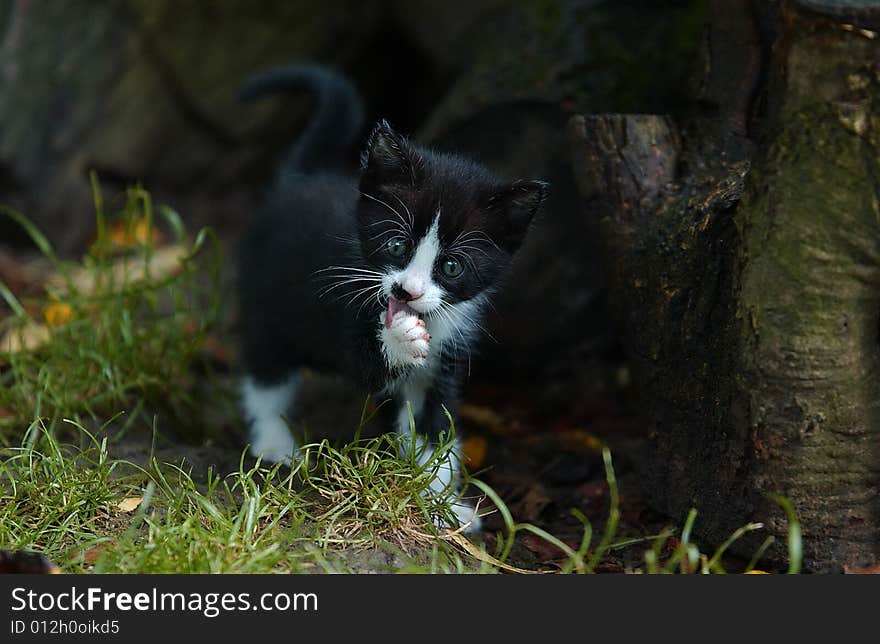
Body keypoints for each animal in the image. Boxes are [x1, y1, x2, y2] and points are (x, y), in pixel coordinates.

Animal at [237, 63, 548, 532]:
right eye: (397, 245)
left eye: (452, 267)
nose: (407, 291)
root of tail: (297, 180)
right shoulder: (341, 309)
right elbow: (371, 366)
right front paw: (400, 335)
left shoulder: (446, 361)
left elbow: (434, 429)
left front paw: (441, 503)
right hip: (268, 302)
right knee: (265, 370)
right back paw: (273, 439)